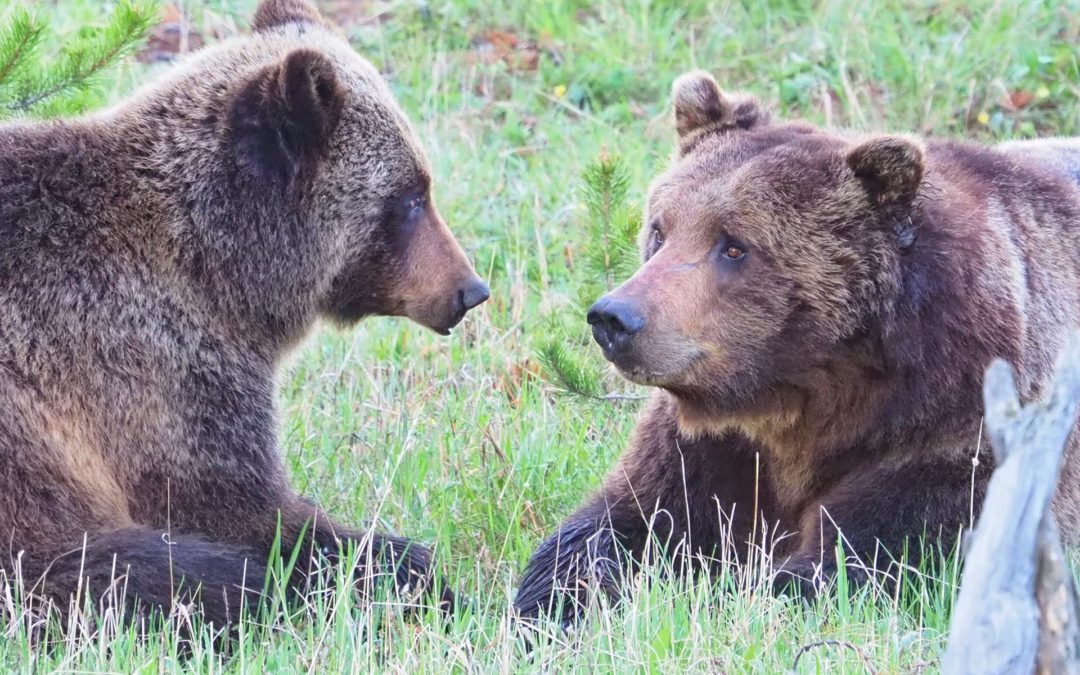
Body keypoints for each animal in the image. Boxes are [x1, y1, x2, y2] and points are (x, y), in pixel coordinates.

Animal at [0, 0, 490, 626]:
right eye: (409, 197)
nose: (470, 290)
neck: (219, 269)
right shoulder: (151, 364)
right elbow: (241, 507)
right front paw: (410, 571)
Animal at [511, 68, 1080, 622]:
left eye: (734, 246)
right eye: (660, 229)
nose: (614, 317)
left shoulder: (957, 434)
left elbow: (870, 553)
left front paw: (739, 592)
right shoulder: (716, 443)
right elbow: (623, 521)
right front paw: (550, 604)